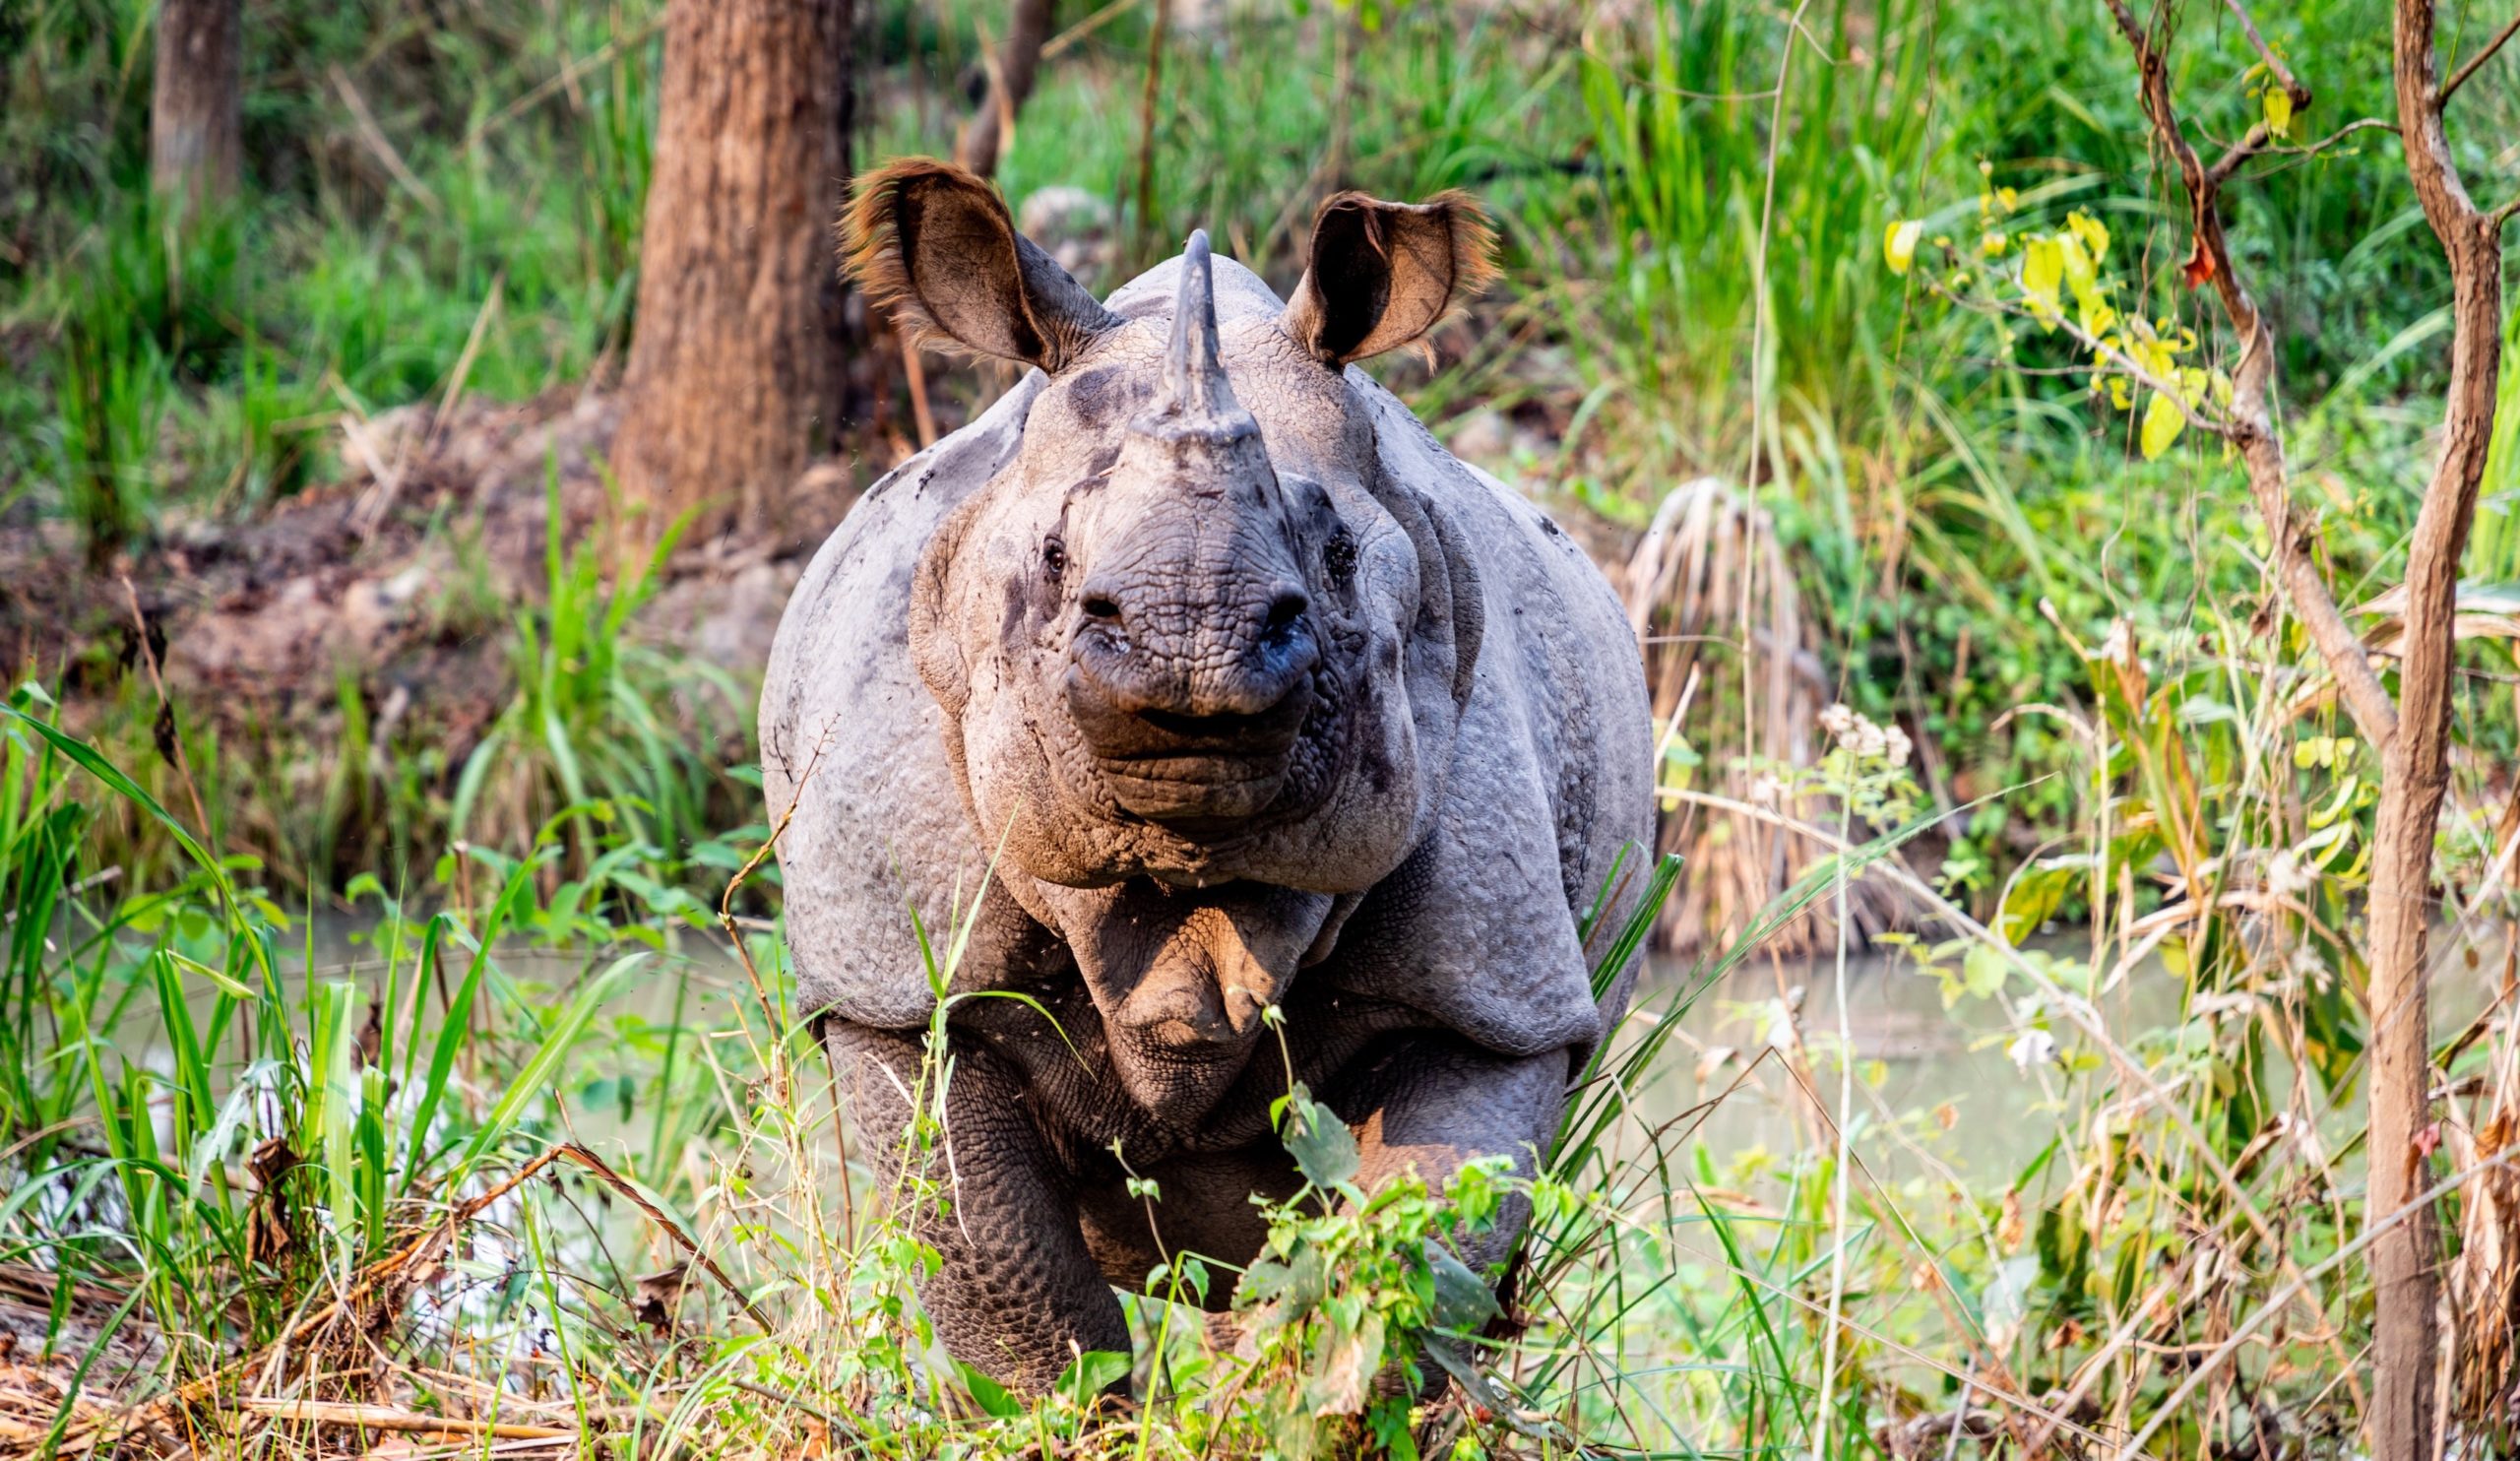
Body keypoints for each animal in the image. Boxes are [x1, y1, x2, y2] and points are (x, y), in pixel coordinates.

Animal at [776, 159, 1663, 1390]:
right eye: (1053, 559)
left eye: (1336, 557)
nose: (1191, 648)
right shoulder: (896, 987)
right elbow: (1010, 1291)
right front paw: (1091, 1411)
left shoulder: (1495, 993)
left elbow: (1400, 1257)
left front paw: (1289, 1395)